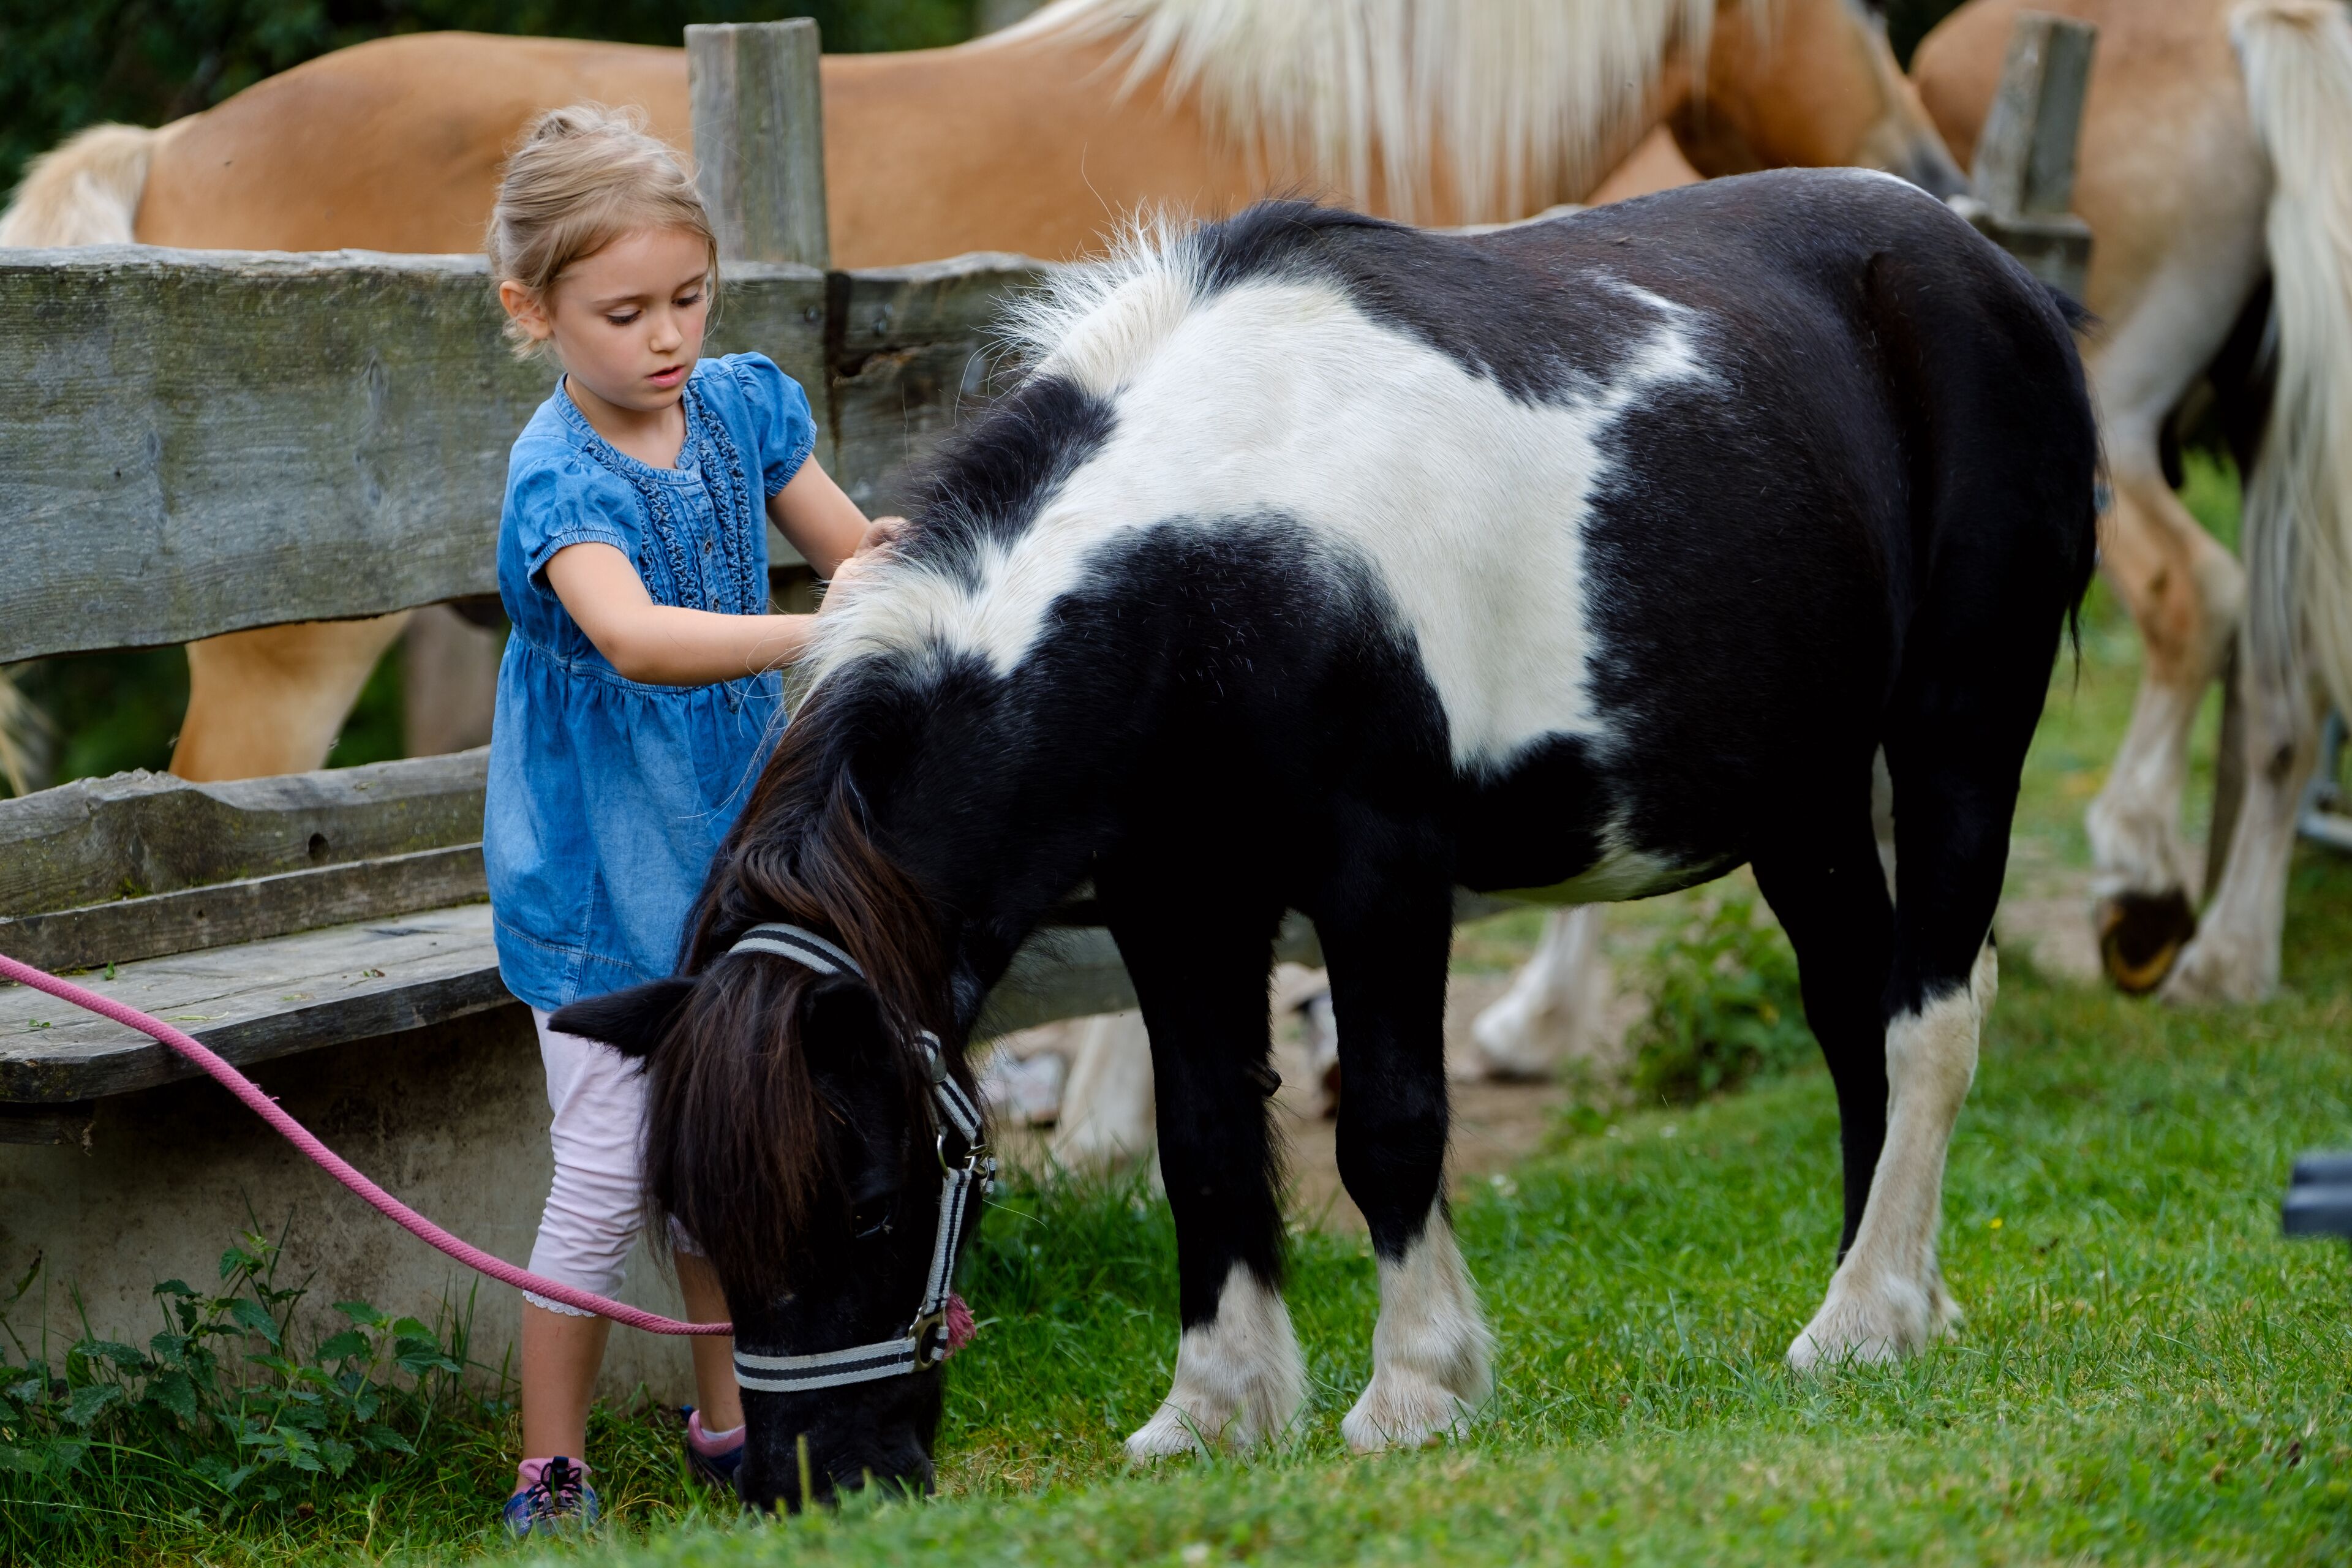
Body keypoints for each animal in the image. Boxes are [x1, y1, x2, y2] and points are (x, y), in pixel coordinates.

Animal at [549, 176, 2097, 1508]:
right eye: (694, 1225)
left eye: (872, 1204)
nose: (813, 1485)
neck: (1216, 566)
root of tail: (1992, 269)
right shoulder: (1176, 902)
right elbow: (1206, 1141)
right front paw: (1213, 1408)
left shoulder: (1381, 873)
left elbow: (1389, 1127)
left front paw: (1413, 1390)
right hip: (1807, 795)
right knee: (1852, 1020)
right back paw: (1889, 1301)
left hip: (1958, 733)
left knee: (1928, 1017)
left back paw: (1863, 1315)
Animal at [1913, 0, 2352, 1003]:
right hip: (2277, 434)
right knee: (2288, 678)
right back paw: (2230, 957)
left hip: (2113, 419)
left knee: (2198, 595)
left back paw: (2142, 872)